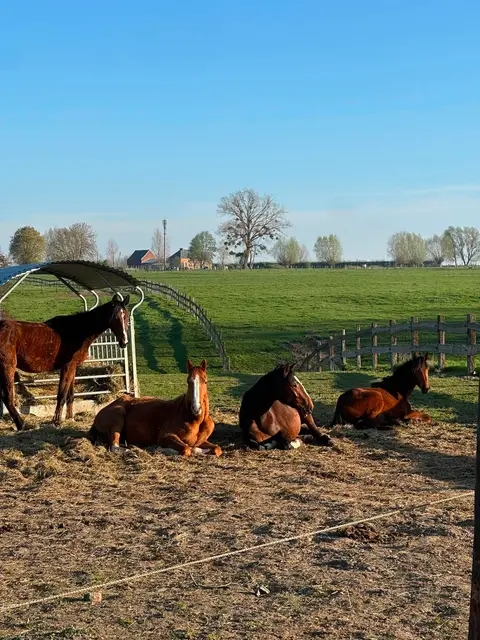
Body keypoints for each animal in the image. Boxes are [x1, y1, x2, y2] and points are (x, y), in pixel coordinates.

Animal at [0, 293, 130, 430]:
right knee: (7, 398)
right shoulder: (67, 366)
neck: (78, 331)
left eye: (126, 316)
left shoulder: (73, 367)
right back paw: (21, 424)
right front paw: (57, 421)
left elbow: (70, 395)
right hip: (7, 367)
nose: (124, 342)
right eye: (115, 317)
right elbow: (62, 394)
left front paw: (70, 418)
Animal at [88, 359, 222, 457]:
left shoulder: (202, 441)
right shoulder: (166, 436)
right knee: (114, 446)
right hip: (118, 415)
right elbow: (187, 449)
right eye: (188, 381)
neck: (194, 419)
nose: (196, 409)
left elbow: (217, 449)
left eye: (205, 381)